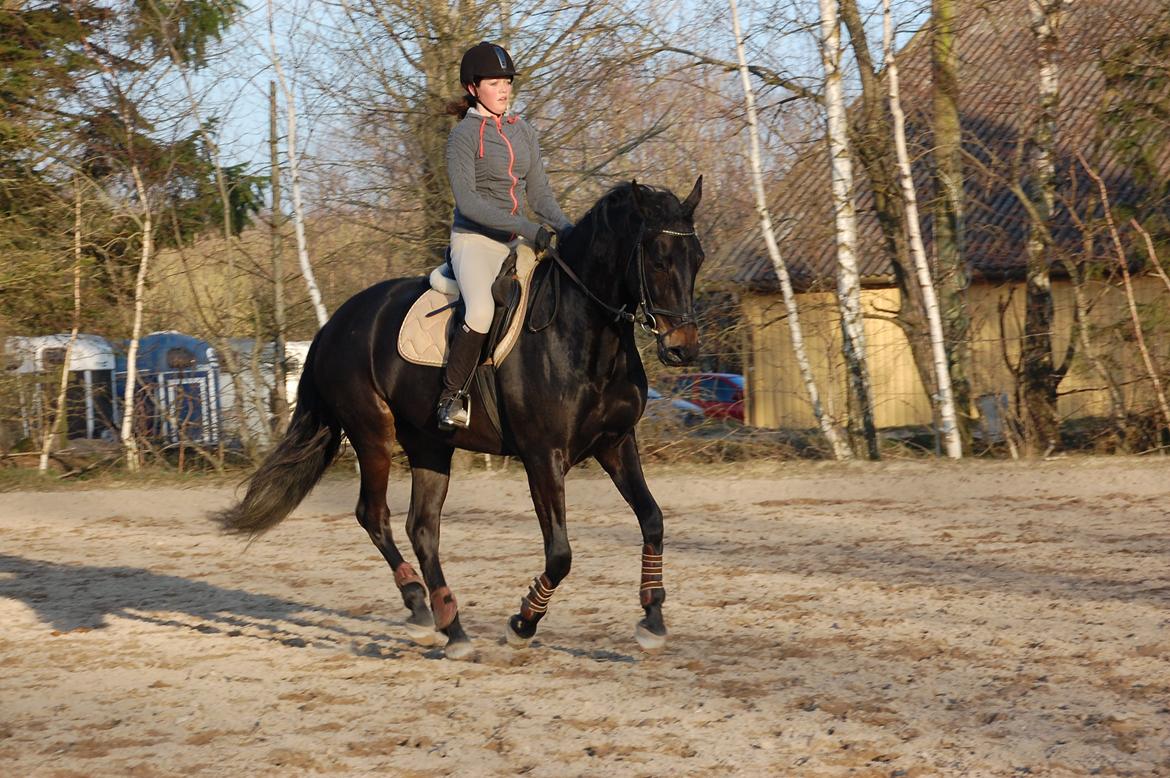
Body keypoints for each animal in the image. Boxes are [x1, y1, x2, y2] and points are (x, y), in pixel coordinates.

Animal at [212, 178, 702, 659]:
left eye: (696, 259)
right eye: (658, 260)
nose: (682, 348)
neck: (584, 334)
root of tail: (334, 325)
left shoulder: (616, 443)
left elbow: (652, 518)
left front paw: (652, 619)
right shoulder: (543, 457)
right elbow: (560, 554)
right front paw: (522, 624)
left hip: (430, 444)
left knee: (422, 528)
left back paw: (453, 626)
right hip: (373, 435)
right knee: (374, 515)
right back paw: (420, 610)